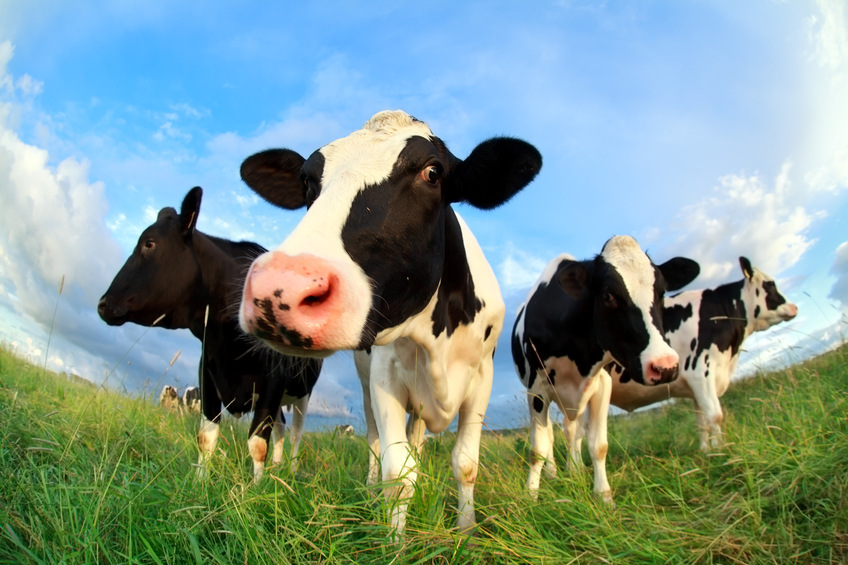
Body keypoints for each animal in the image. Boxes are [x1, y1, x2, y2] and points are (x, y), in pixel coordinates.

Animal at [97, 187, 322, 482]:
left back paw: (291, 471)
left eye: (149, 244)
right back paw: (277, 466)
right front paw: (200, 483)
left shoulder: (274, 378)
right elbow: (206, 436)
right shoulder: (208, 371)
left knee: (296, 432)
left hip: (301, 392)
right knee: (281, 429)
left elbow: (257, 443)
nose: (103, 304)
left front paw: (255, 489)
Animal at [237, 109, 544, 532]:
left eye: (432, 173)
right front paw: (395, 538)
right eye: (307, 181)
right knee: (374, 441)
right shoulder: (385, 374)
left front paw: (466, 530)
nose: (280, 286)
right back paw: (369, 490)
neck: (438, 339)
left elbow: (465, 464)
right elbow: (397, 472)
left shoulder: (482, 375)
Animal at [510, 236, 704, 500]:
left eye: (662, 292)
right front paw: (530, 496)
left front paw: (603, 495)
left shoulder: (601, 384)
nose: (664, 366)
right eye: (608, 295)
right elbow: (538, 447)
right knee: (550, 434)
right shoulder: (537, 387)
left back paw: (575, 470)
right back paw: (553, 474)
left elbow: (598, 444)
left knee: (572, 430)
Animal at [608, 256, 800, 450]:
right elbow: (714, 415)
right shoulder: (700, 371)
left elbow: (701, 420)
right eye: (770, 285)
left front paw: (705, 451)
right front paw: (720, 450)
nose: (794, 307)